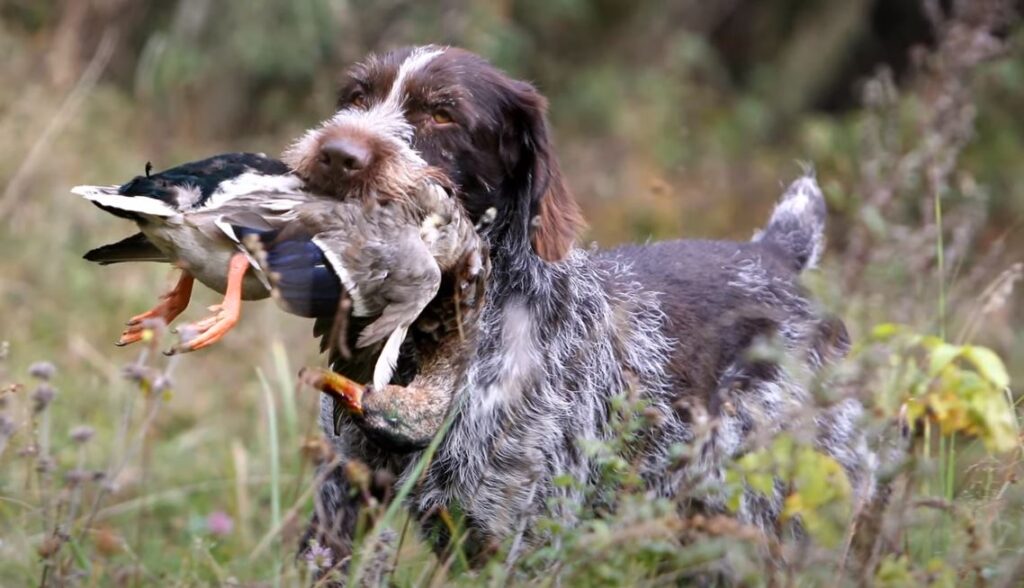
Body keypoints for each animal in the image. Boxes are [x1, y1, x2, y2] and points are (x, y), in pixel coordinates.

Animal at [276, 47, 876, 577]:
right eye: (357, 96)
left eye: (443, 114)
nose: (337, 153)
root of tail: (778, 254)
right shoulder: (343, 505)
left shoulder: (519, 542)